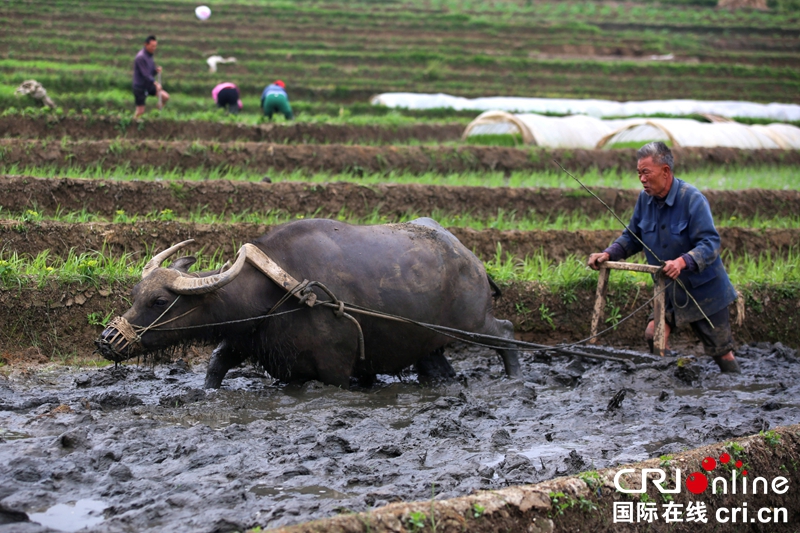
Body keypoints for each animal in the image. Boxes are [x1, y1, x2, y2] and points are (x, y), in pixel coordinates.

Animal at [95, 216, 520, 386]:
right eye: (135, 295)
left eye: (159, 301)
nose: (106, 340)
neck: (281, 292)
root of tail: (470, 258)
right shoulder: (246, 339)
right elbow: (215, 366)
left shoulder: (335, 369)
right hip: (427, 341)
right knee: (437, 366)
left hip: (474, 323)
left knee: (506, 333)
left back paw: (517, 377)